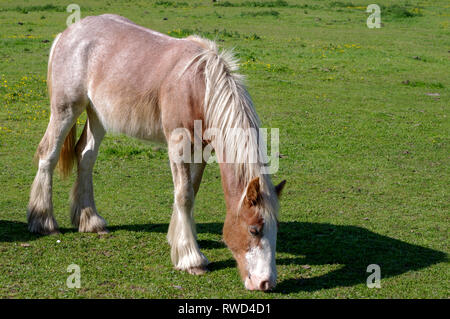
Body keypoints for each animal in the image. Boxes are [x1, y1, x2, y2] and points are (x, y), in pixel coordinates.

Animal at [28, 16, 286, 294]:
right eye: (254, 230)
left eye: (275, 229)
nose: (265, 282)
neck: (199, 87)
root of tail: (68, 33)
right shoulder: (178, 144)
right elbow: (184, 195)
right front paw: (192, 259)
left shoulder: (202, 150)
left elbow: (191, 190)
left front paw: (178, 241)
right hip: (66, 109)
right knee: (48, 154)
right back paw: (43, 221)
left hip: (98, 114)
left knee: (85, 156)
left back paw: (90, 220)